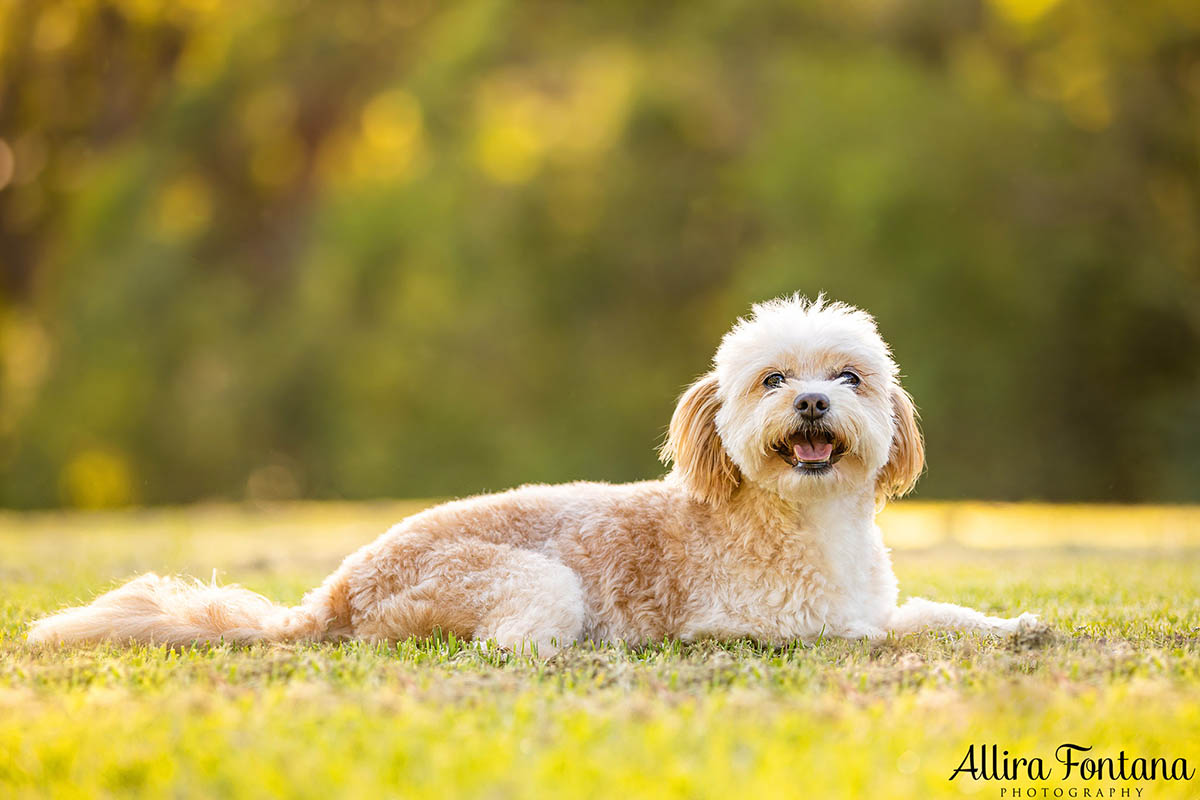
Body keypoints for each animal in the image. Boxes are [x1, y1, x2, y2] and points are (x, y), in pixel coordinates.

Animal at [32, 293, 1036, 652]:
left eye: (849, 377)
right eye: (772, 381)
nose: (815, 406)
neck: (804, 514)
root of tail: (334, 594)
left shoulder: (875, 598)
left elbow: (935, 615)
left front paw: (1014, 623)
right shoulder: (751, 620)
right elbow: (867, 635)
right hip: (532, 582)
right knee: (503, 646)